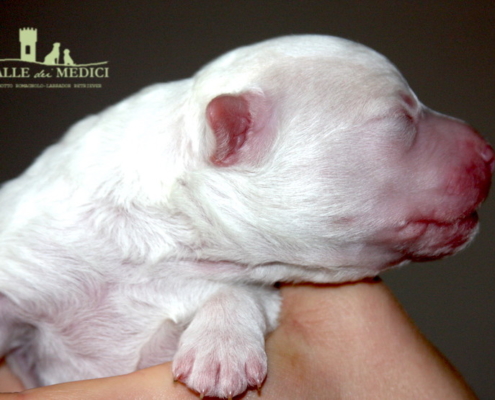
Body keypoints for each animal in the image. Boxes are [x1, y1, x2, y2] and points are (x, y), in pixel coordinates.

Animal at [0, 34, 494, 396]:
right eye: (402, 117)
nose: (489, 150)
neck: (167, 250)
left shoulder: (256, 283)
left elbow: (238, 293)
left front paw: (221, 353)